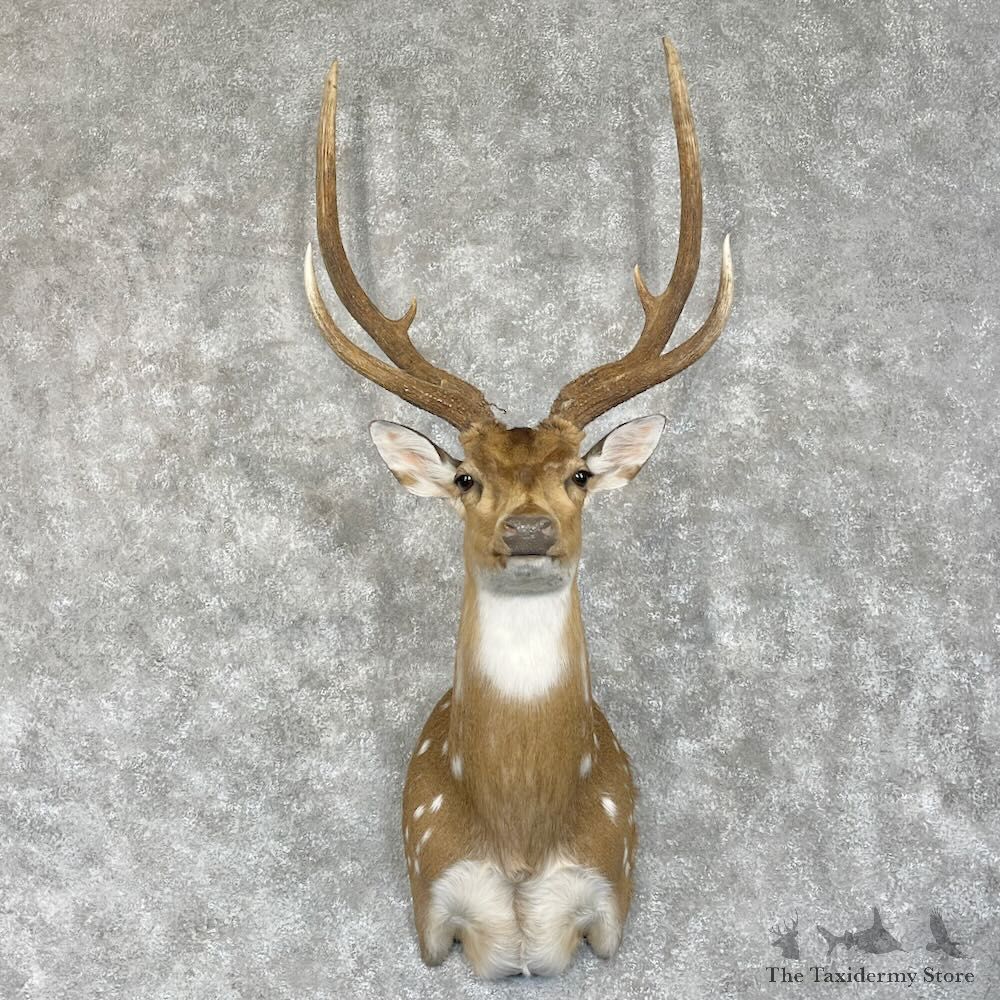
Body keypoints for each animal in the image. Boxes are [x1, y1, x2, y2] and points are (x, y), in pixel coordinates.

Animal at [303, 37, 733, 978]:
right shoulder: (431, 906)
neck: (523, 841)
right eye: (467, 477)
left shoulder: (610, 898)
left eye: (579, 475)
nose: (528, 530)